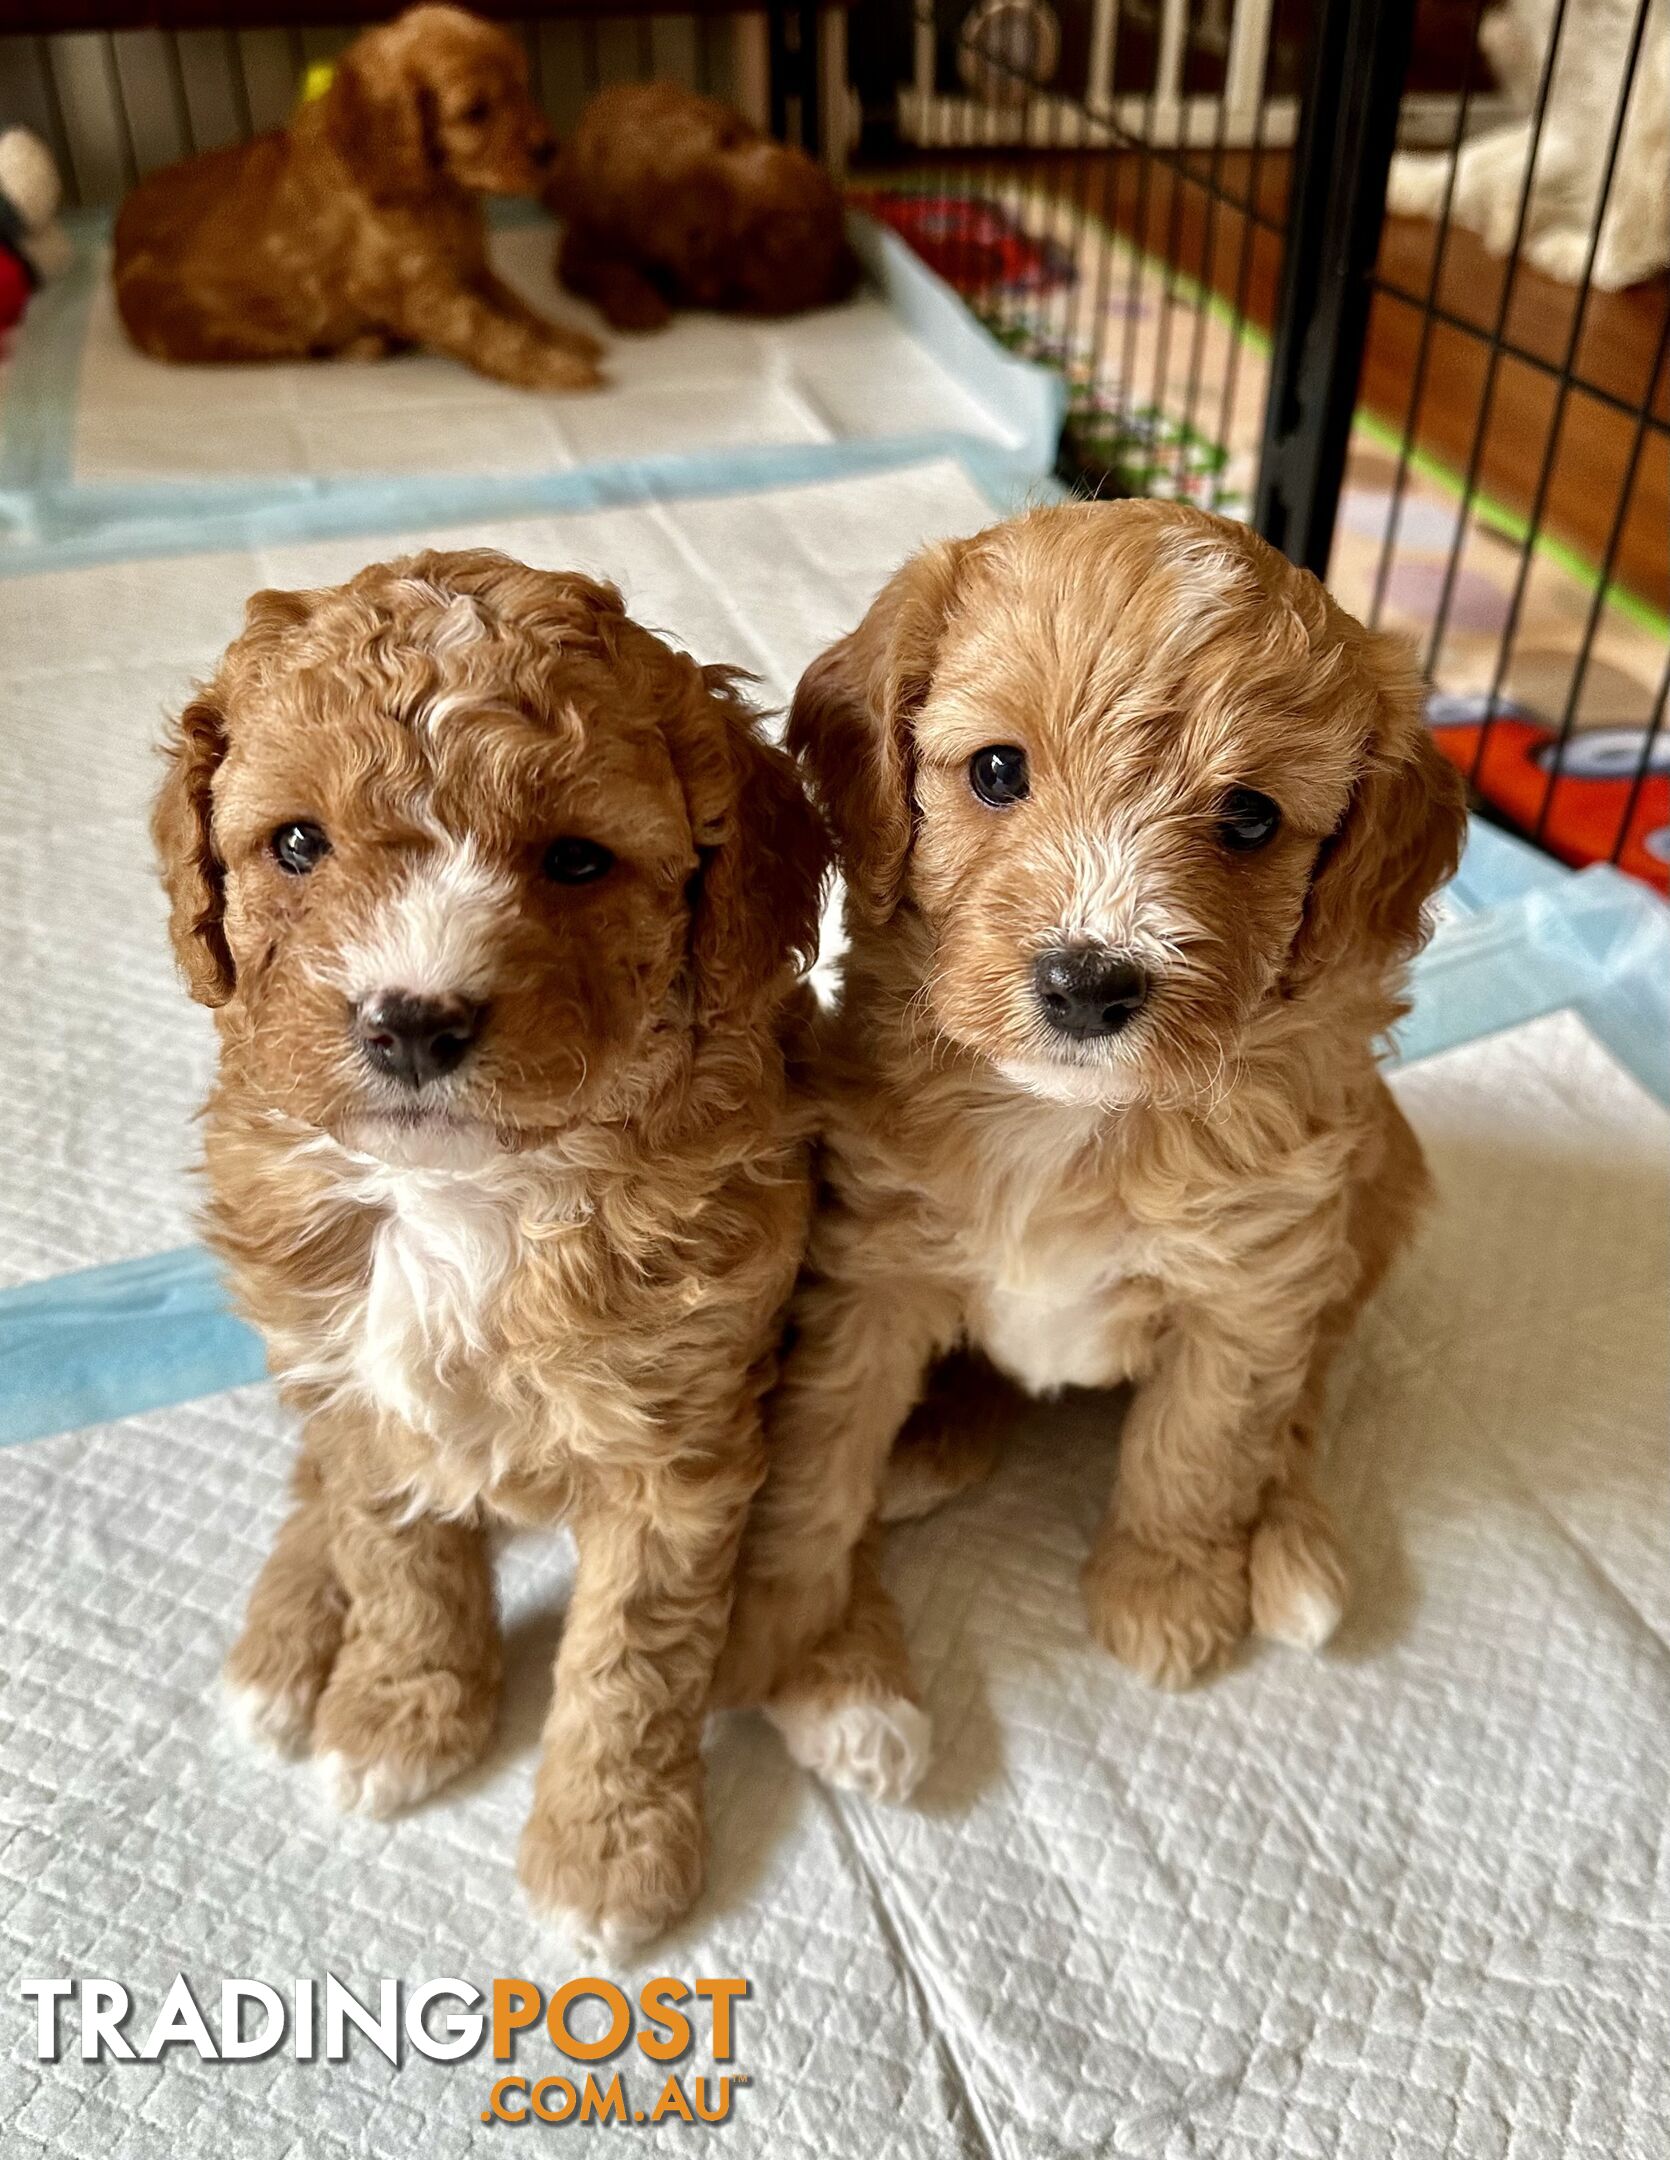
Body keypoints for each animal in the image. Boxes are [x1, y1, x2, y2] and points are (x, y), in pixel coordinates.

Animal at [110, 7, 596, 393]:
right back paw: (368, 343)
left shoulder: (471, 265)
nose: (550, 149)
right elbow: (483, 328)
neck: (436, 192)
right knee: (303, 347)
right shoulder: (413, 288)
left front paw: (566, 337)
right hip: (219, 333)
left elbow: (515, 305)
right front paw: (557, 368)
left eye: (522, 87)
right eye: (475, 112)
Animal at [159, 548, 825, 1952]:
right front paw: (398, 1712)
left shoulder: (679, 1441)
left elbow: (633, 1654)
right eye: (295, 844)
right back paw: (285, 1644)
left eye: (576, 859)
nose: (411, 1021)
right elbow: (392, 1549)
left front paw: (605, 1850)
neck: (463, 1189)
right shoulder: (360, 1377)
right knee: (312, 1479)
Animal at [550, 82, 855, 328]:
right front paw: (638, 305)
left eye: (735, 289)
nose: (698, 254)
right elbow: (611, 271)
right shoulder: (576, 252)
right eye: (700, 235)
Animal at [717, 501, 1460, 1788]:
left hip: (1372, 1200)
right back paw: (933, 1441)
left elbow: (1200, 1442)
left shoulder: (1250, 1284)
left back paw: (1290, 1555)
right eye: (996, 771)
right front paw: (783, 1624)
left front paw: (1164, 1593)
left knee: (1302, 1398)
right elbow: (817, 1456)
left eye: (1249, 817)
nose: (1087, 983)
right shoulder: (867, 1269)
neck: (1071, 1121)